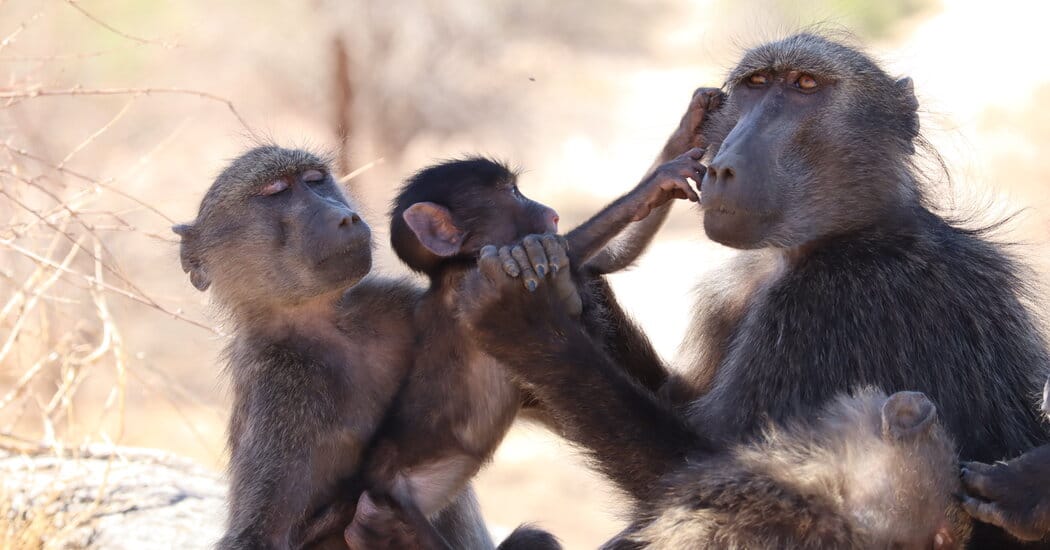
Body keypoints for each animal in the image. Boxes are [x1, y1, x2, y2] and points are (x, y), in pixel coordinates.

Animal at [174, 146, 518, 550]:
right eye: (277, 191)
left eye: (315, 180)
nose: (344, 217)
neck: (326, 326)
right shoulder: (277, 389)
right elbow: (261, 534)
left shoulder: (398, 305)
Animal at [455, 33, 1050, 549]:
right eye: (756, 84)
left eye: (805, 85)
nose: (721, 167)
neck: (846, 233)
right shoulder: (734, 294)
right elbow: (676, 400)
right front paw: (565, 281)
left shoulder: (832, 303)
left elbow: (708, 483)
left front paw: (530, 322)